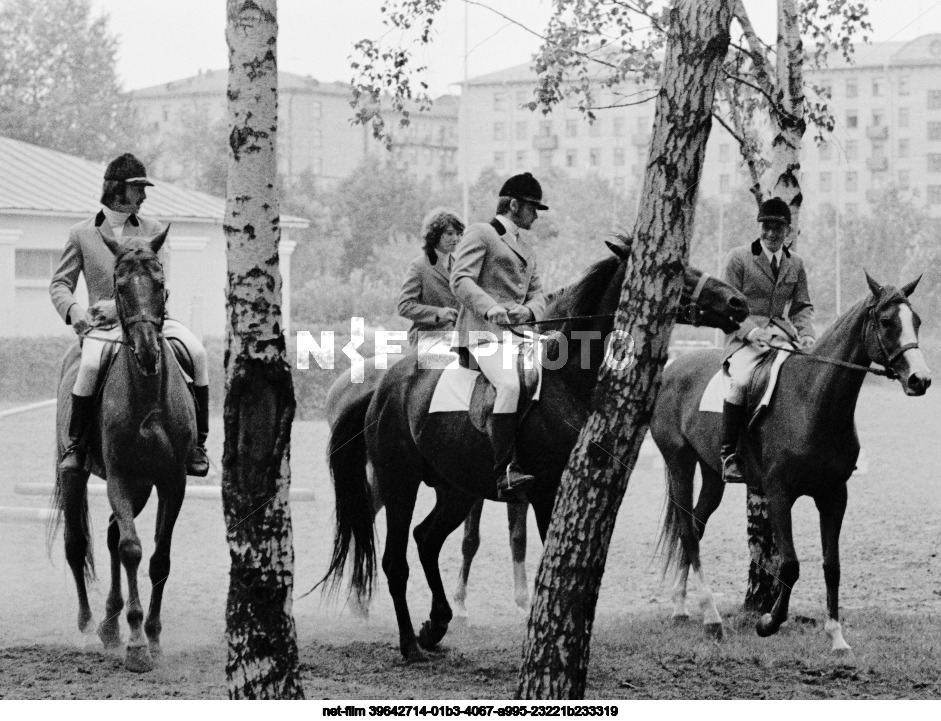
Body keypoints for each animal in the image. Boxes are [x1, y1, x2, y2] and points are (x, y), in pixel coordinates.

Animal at [48, 228, 196, 672]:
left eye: (160, 284)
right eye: (119, 286)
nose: (147, 353)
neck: (148, 396)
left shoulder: (172, 481)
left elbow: (159, 558)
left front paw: (153, 636)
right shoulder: (118, 475)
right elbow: (132, 549)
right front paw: (136, 644)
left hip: (143, 486)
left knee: (113, 532)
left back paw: (110, 625)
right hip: (76, 473)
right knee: (78, 544)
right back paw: (90, 626)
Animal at [324, 239, 748, 660]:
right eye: (678, 271)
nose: (737, 303)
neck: (569, 380)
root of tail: (382, 386)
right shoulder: (547, 492)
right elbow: (551, 560)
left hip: (456, 492)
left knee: (426, 539)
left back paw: (436, 625)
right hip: (400, 484)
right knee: (395, 560)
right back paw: (411, 645)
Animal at [652, 272, 932, 648]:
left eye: (916, 321)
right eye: (887, 322)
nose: (921, 380)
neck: (812, 399)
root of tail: (673, 368)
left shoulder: (834, 495)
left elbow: (832, 565)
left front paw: (836, 636)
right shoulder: (779, 493)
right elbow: (790, 564)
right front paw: (769, 622)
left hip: (712, 474)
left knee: (695, 526)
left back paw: (686, 606)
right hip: (679, 462)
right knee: (686, 529)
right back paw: (697, 614)